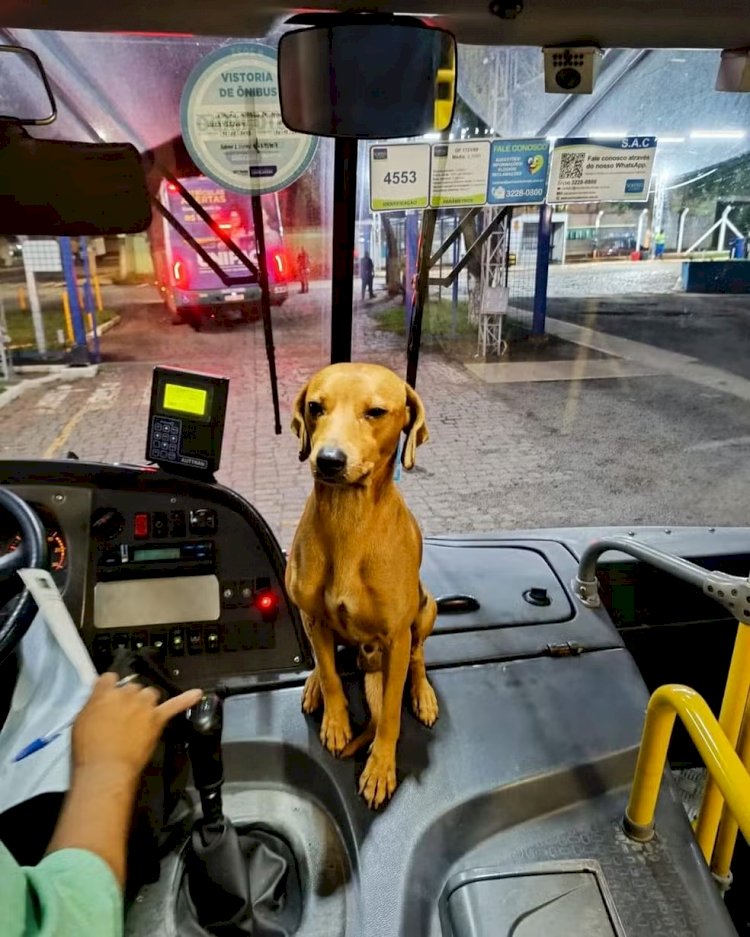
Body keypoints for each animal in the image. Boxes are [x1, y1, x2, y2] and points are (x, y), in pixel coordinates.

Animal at [288, 362, 440, 808]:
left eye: (375, 412)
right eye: (315, 407)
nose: (328, 460)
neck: (347, 519)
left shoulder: (396, 638)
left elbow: (388, 713)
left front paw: (380, 766)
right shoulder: (314, 618)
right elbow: (332, 675)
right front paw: (336, 720)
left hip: (427, 609)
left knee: (418, 658)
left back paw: (422, 693)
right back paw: (313, 686)